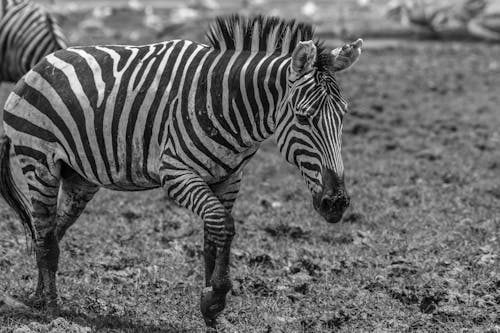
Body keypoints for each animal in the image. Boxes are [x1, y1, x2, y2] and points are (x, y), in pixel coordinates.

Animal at [0, 14, 362, 326]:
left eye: (343, 115)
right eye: (303, 117)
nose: (336, 203)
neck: (228, 104)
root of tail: (39, 65)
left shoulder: (229, 178)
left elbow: (213, 237)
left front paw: (213, 311)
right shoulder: (176, 173)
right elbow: (223, 225)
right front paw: (214, 299)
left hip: (80, 177)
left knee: (52, 232)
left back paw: (38, 296)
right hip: (40, 163)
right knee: (45, 235)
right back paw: (51, 310)